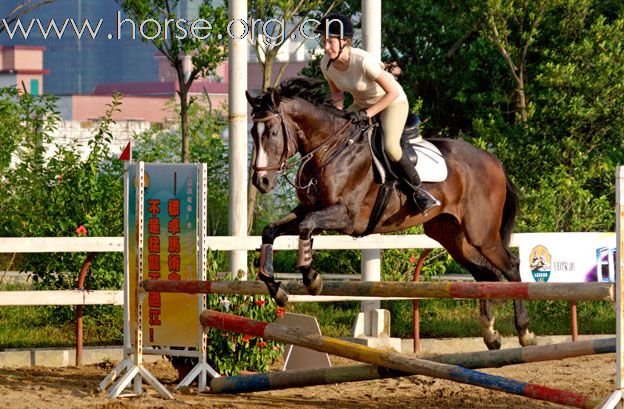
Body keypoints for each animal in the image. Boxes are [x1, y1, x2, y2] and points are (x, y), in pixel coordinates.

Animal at [244, 77, 536, 350]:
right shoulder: (309, 209)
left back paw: (525, 332)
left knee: (511, 267)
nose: (261, 182)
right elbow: (271, 230)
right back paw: (491, 334)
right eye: (252, 133)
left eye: (272, 132)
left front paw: (311, 279)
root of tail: (492, 160)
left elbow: (306, 226)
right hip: (451, 235)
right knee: (482, 273)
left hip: (481, 234)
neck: (329, 149)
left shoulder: (347, 218)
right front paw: (277, 290)